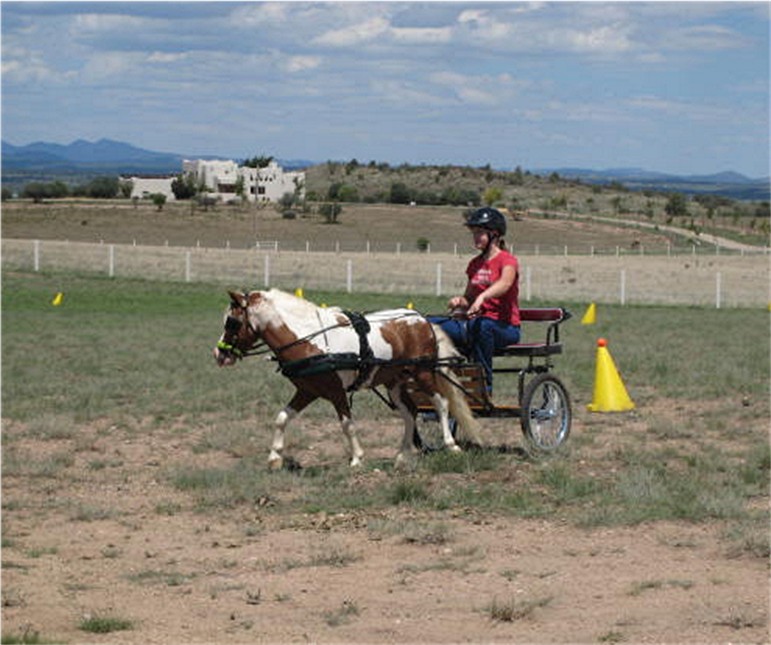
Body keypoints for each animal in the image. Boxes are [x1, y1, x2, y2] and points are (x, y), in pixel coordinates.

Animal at [213, 288, 482, 469]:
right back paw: (402, 455)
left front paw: (357, 459)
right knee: (410, 412)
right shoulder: (307, 391)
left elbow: (347, 424)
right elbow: (281, 418)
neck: (310, 339)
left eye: (232, 322)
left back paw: (451, 445)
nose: (218, 354)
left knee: (441, 403)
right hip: (395, 382)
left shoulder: (336, 392)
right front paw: (274, 457)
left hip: (423, 372)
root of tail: (422, 319)